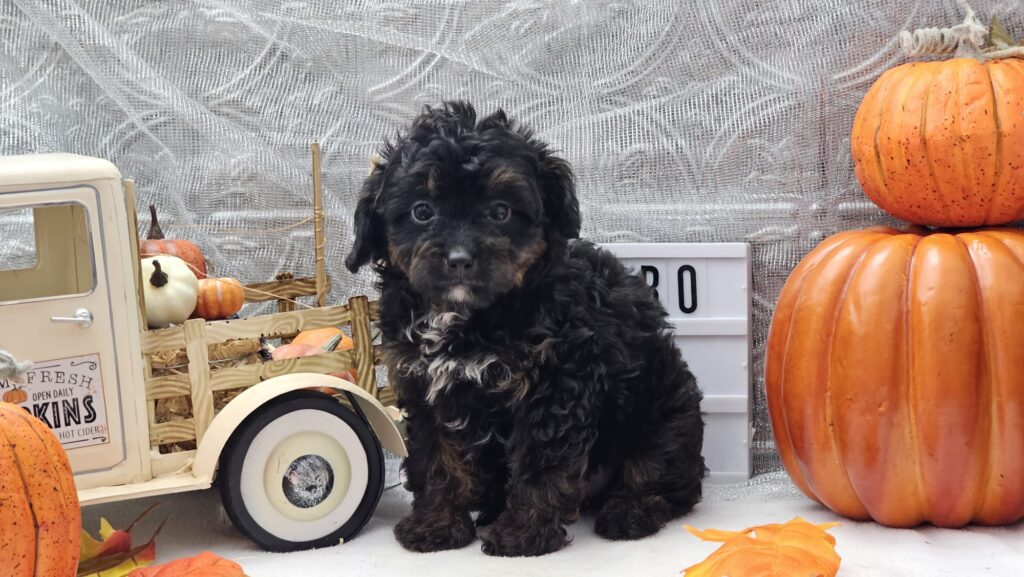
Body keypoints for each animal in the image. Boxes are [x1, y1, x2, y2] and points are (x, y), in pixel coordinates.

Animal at [344, 101, 704, 557]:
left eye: (500, 211)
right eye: (422, 210)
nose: (459, 259)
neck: (468, 317)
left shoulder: (556, 382)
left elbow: (539, 462)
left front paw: (523, 535)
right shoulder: (424, 384)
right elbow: (438, 459)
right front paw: (435, 527)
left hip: (663, 413)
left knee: (660, 474)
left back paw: (630, 513)